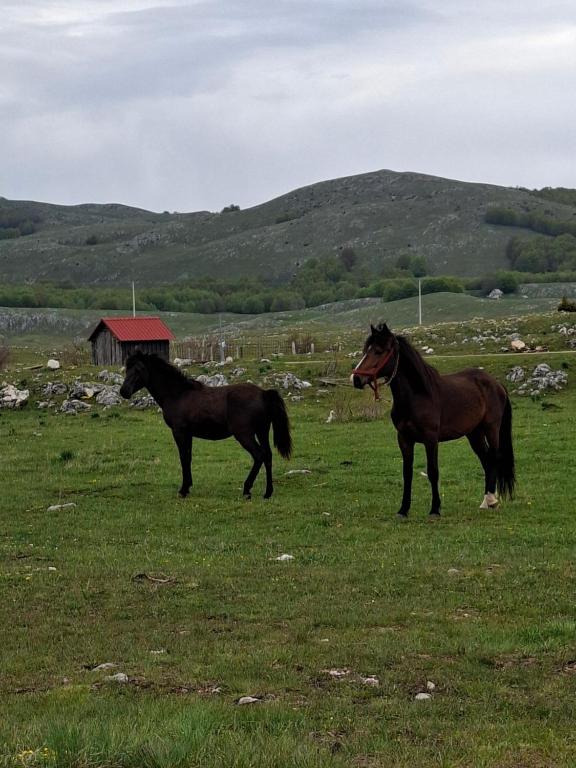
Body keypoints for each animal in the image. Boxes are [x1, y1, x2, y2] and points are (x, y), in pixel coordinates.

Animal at [119, 351, 292, 499]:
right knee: (267, 456)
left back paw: (247, 489)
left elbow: (183, 457)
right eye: (127, 369)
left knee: (259, 455)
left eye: (139, 369)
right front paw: (188, 486)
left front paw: (183, 490)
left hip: (245, 434)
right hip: (262, 431)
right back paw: (268, 493)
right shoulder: (188, 434)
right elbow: (188, 457)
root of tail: (263, 394)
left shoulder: (179, 432)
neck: (178, 394)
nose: (123, 392)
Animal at [351, 323, 515, 517]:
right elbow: (407, 473)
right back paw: (486, 501)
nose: (355, 378)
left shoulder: (430, 439)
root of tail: (497, 384)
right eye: (365, 350)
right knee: (486, 460)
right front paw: (403, 509)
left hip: (491, 428)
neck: (418, 396)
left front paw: (435, 509)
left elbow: (433, 471)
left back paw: (491, 500)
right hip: (474, 433)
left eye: (378, 351)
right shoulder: (404, 439)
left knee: (494, 457)